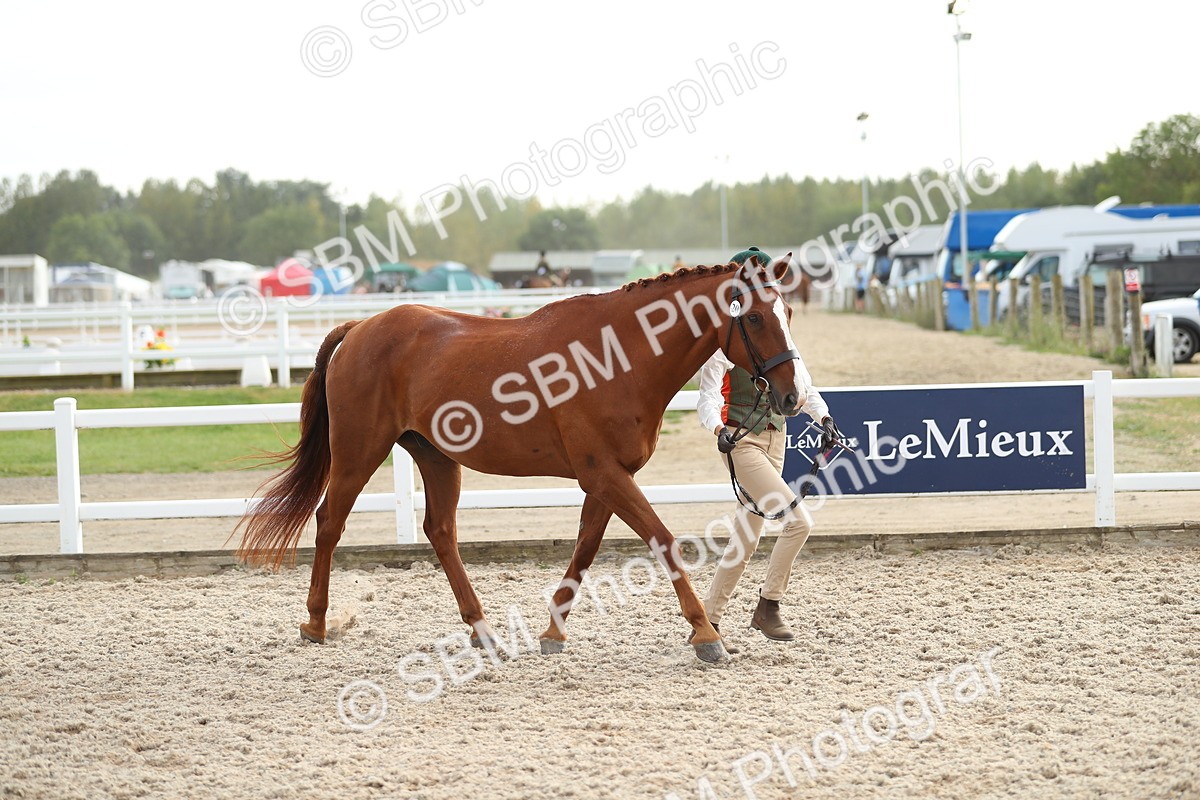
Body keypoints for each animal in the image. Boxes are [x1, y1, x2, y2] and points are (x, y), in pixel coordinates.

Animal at [234, 254, 806, 663]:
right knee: (329, 521)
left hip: (436, 458)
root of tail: (358, 328)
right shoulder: (606, 475)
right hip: (358, 452)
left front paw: (552, 632)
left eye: (789, 312)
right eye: (756, 316)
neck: (618, 357)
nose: (792, 397)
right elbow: (662, 540)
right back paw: (315, 623)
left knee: (440, 531)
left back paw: (482, 630)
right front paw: (706, 634)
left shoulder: (606, 478)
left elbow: (585, 548)